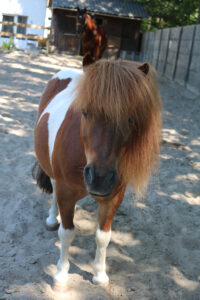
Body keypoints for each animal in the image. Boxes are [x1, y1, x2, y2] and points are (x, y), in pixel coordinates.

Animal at [33, 59, 162, 288]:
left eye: (131, 118)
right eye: (85, 112)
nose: (99, 179)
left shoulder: (112, 198)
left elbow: (103, 236)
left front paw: (100, 274)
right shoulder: (66, 193)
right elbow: (67, 233)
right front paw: (61, 275)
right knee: (54, 191)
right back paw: (51, 219)